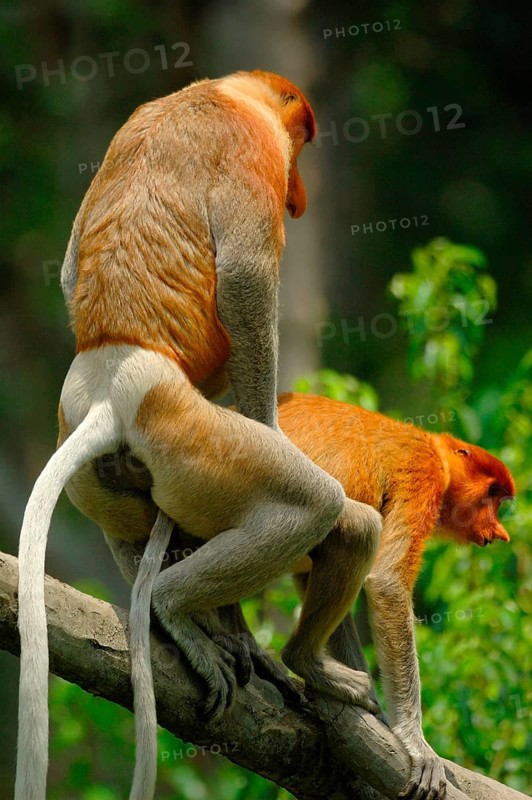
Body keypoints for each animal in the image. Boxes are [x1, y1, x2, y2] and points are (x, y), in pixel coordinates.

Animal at [16, 71, 383, 800]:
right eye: (302, 139)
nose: (299, 195)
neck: (225, 94)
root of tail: (112, 385)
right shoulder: (252, 152)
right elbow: (245, 277)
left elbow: (68, 268)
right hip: (191, 432)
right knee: (314, 504)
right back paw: (191, 615)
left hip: (103, 470)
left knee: (137, 528)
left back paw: (200, 628)